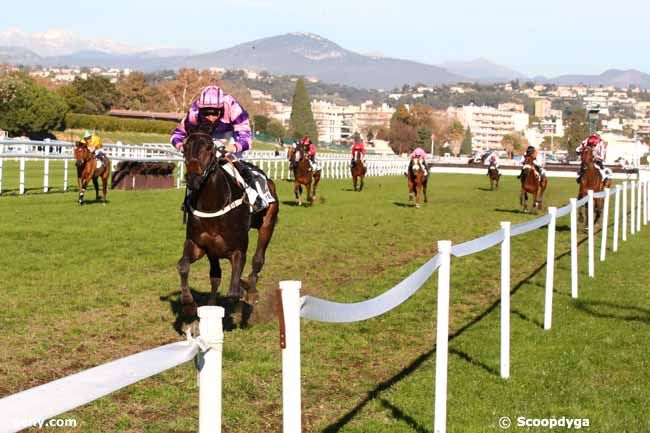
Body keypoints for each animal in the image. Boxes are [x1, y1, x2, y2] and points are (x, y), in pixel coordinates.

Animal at [177, 127, 278, 314]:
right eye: (185, 148)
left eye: (209, 149)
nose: (193, 178)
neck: (212, 204)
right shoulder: (198, 244)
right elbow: (183, 266)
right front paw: (188, 303)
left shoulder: (238, 250)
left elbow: (233, 293)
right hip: (213, 252)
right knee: (215, 276)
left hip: (268, 224)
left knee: (258, 259)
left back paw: (251, 290)